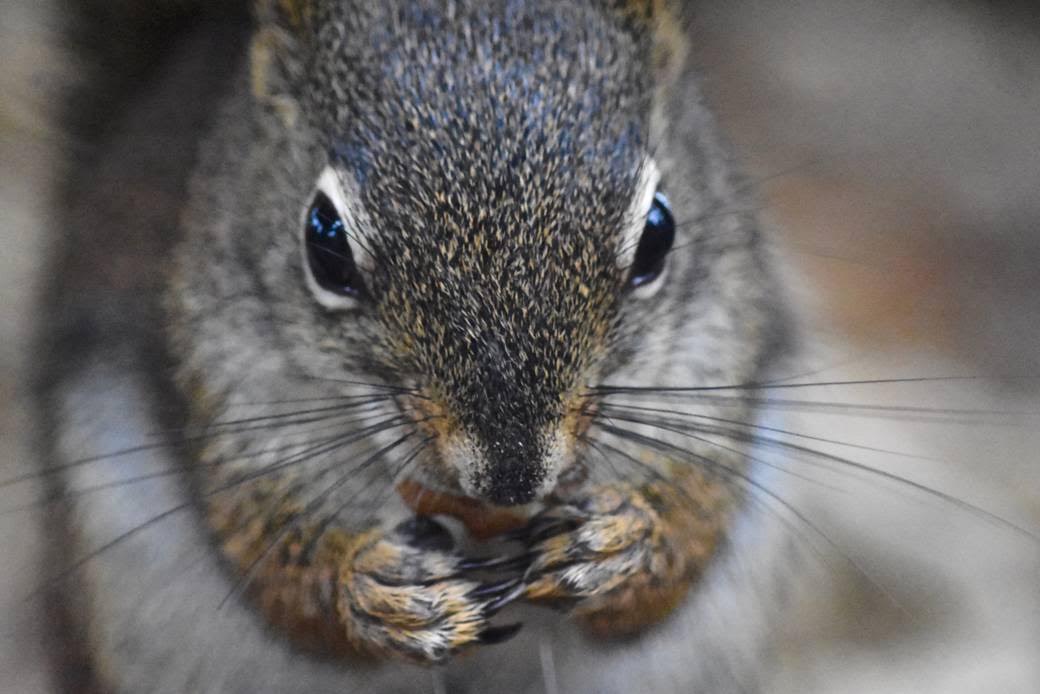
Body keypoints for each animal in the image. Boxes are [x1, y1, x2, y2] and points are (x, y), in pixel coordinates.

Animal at [35, 1, 790, 691]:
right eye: (324, 243)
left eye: (660, 234)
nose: (512, 475)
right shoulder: (227, 382)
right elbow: (272, 565)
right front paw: (378, 591)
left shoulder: (714, 350)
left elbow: (692, 526)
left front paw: (622, 542)